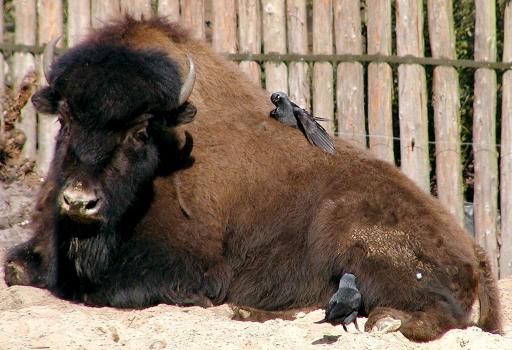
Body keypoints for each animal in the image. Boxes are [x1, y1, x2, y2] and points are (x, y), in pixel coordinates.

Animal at [4, 16, 500, 342]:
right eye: (65, 120)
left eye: (140, 131)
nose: (78, 201)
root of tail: (473, 247)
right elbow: (14, 268)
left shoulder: (188, 270)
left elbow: (109, 291)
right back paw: (252, 312)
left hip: (351, 235)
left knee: (432, 310)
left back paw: (383, 322)